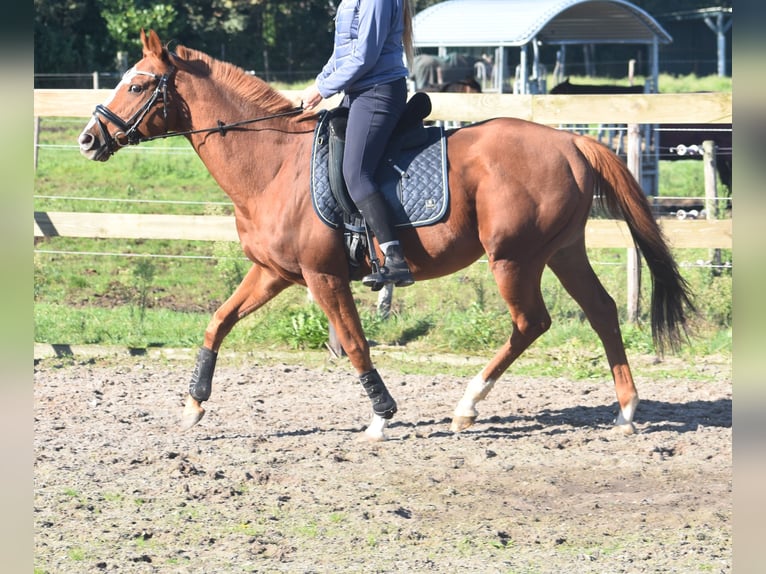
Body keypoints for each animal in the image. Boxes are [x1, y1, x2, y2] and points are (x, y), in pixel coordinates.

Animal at [78, 31, 696, 444]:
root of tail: (571, 142)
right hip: (562, 251)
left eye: (138, 84)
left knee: (531, 324)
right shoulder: (274, 272)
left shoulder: (323, 276)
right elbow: (218, 321)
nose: (88, 139)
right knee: (603, 311)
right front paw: (193, 403)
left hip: (514, 259)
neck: (272, 163)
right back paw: (625, 410)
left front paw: (380, 415)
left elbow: (355, 343)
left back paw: (468, 405)